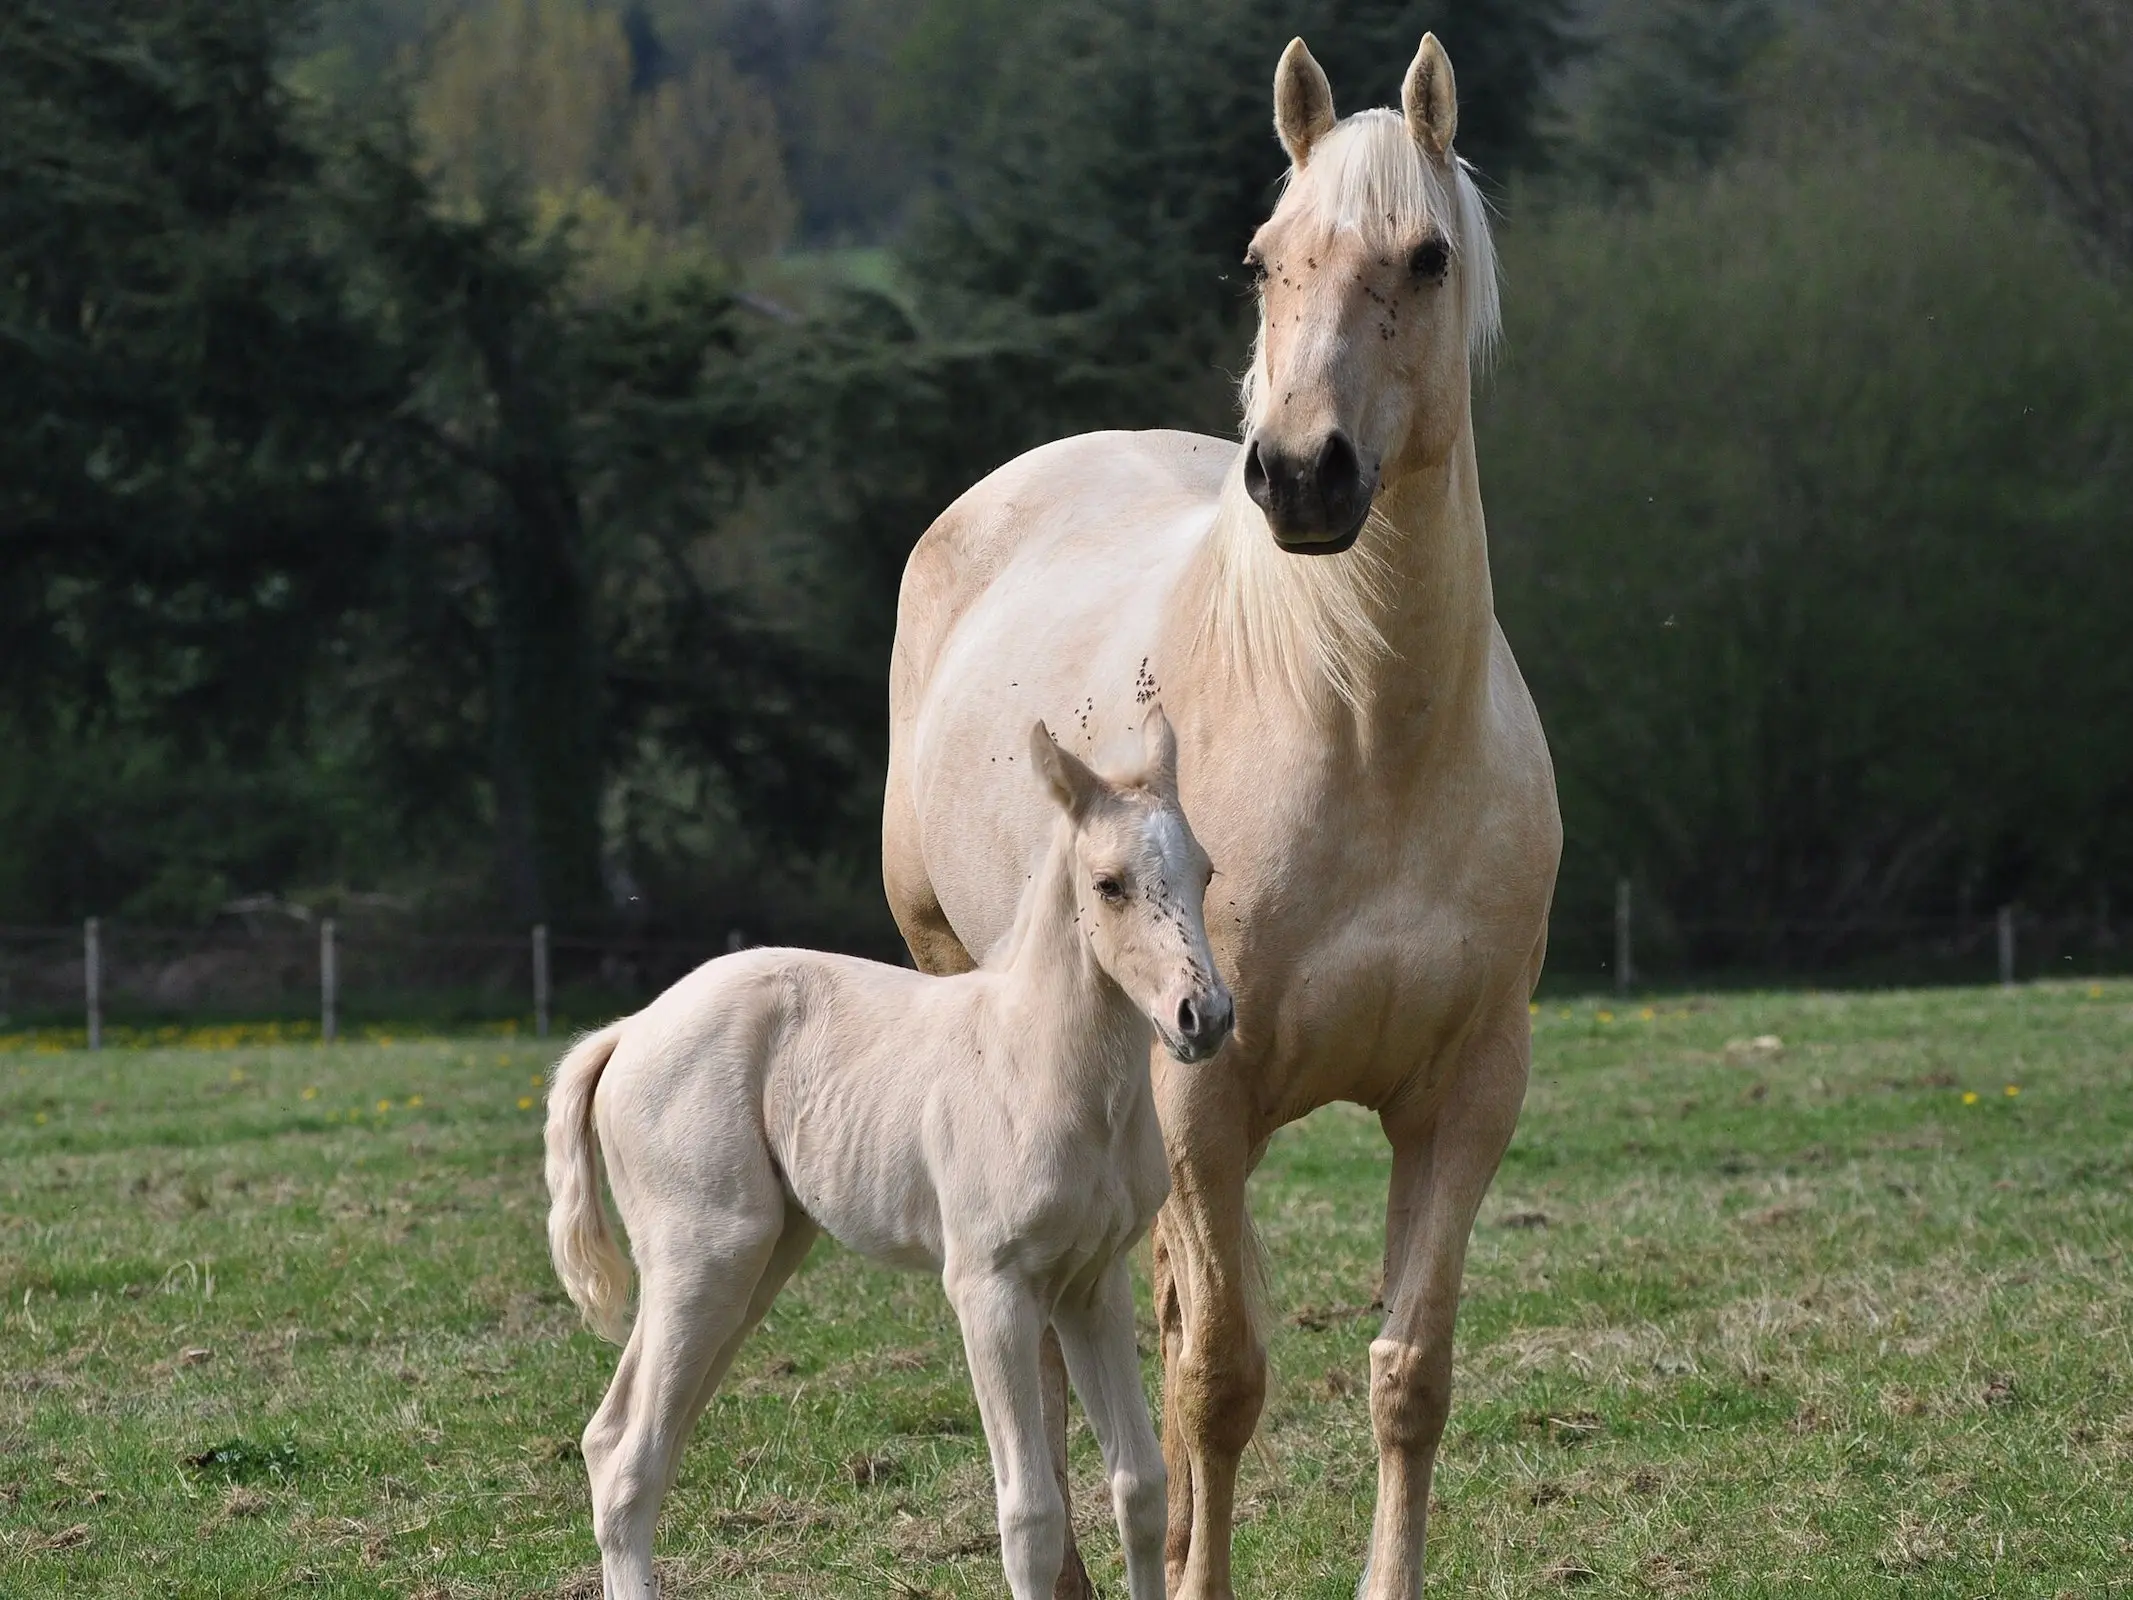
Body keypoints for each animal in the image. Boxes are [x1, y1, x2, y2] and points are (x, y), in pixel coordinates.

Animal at [541, 712, 1228, 1600]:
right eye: (1109, 884)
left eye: (1204, 873)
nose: (1202, 1017)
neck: (1033, 1061)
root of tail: (627, 1032)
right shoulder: (989, 1287)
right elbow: (1030, 1516)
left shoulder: (1090, 1283)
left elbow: (1140, 1486)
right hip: (705, 1256)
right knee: (631, 1462)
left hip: (751, 1264)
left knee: (614, 1437)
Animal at [874, 28, 1561, 1600]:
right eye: (1263, 259)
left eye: (1427, 256)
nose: (1302, 475)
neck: (1363, 731)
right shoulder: (1207, 1092)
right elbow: (1221, 1378)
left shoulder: (1466, 1097)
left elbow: (1406, 1373)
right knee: (1071, 1350)